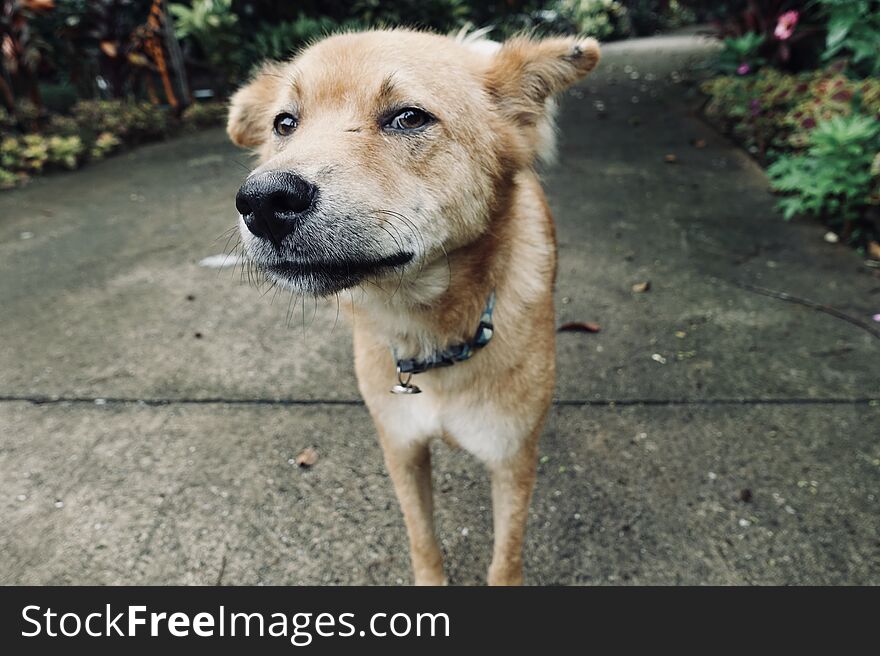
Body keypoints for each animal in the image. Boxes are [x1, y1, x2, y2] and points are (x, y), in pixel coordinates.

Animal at [227, 28, 600, 588]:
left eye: (408, 117)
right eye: (284, 123)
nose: (264, 202)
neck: (432, 335)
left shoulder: (511, 461)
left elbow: (505, 559)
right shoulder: (401, 447)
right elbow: (422, 538)